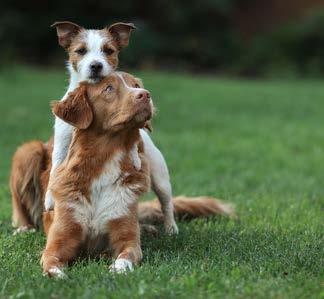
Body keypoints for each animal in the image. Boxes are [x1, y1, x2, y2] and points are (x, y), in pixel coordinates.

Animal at [9, 71, 233, 278]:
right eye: (108, 88)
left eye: (136, 85)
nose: (145, 94)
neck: (106, 157)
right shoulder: (58, 242)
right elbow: (51, 262)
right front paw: (58, 276)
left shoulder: (127, 239)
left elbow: (126, 255)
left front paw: (117, 270)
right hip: (27, 152)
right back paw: (24, 228)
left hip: (158, 169)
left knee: (166, 202)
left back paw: (166, 229)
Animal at [41, 21, 177, 237]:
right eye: (81, 51)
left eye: (108, 50)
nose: (96, 65)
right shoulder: (62, 143)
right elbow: (56, 169)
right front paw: (50, 199)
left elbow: (131, 151)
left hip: (160, 176)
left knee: (166, 202)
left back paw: (171, 227)